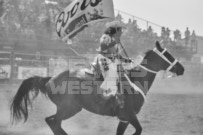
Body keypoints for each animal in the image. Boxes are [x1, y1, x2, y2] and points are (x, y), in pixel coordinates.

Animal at [10, 41, 184, 135]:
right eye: (168, 55)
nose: (181, 68)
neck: (135, 81)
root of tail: (50, 78)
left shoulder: (124, 119)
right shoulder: (129, 115)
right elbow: (139, 130)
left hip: (70, 108)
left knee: (51, 121)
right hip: (68, 108)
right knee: (54, 122)